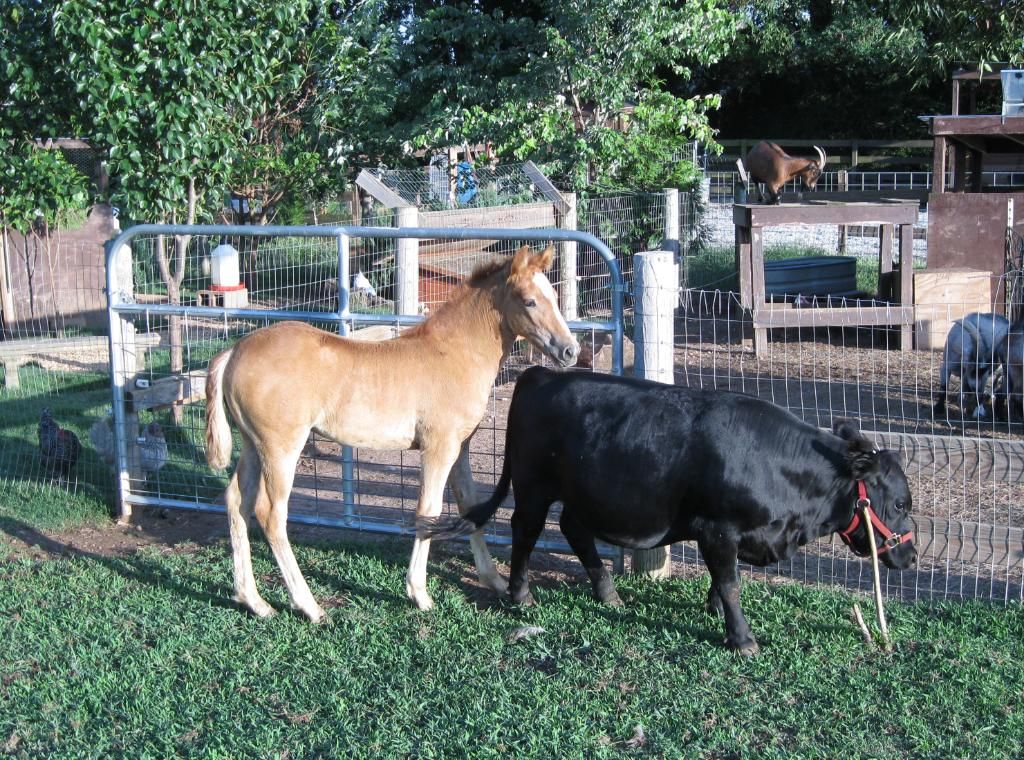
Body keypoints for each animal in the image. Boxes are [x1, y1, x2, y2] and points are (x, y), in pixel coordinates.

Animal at [419, 367, 917, 655]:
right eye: (900, 502)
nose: (911, 555)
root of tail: (538, 373)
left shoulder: (728, 535)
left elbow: (722, 579)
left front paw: (714, 611)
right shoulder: (718, 529)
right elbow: (731, 583)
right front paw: (742, 639)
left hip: (582, 493)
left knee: (574, 530)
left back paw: (608, 594)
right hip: (534, 486)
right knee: (526, 529)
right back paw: (521, 595)